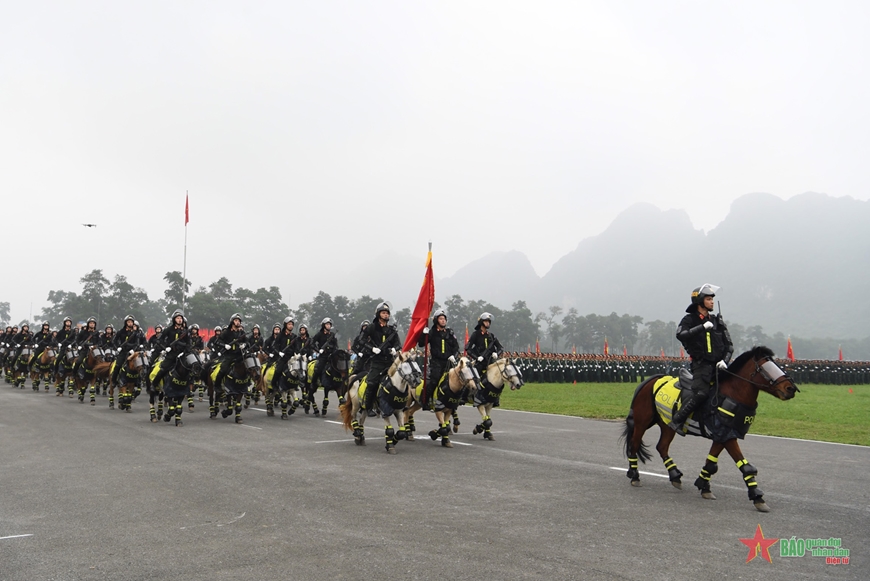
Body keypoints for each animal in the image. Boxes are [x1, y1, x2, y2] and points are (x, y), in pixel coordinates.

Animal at [624, 346, 800, 510]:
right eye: (766, 367)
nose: (791, 389)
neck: (732, 395)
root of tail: (652, 380)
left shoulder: (722, 436)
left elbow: (711, 463)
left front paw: (704, 486)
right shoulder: (727, 436)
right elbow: (745, 466)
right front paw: (757, 497)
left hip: (667, 425)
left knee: (662, 447)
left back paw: (675, 476)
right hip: (642, 423)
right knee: (634, 445)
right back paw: (635, 476)